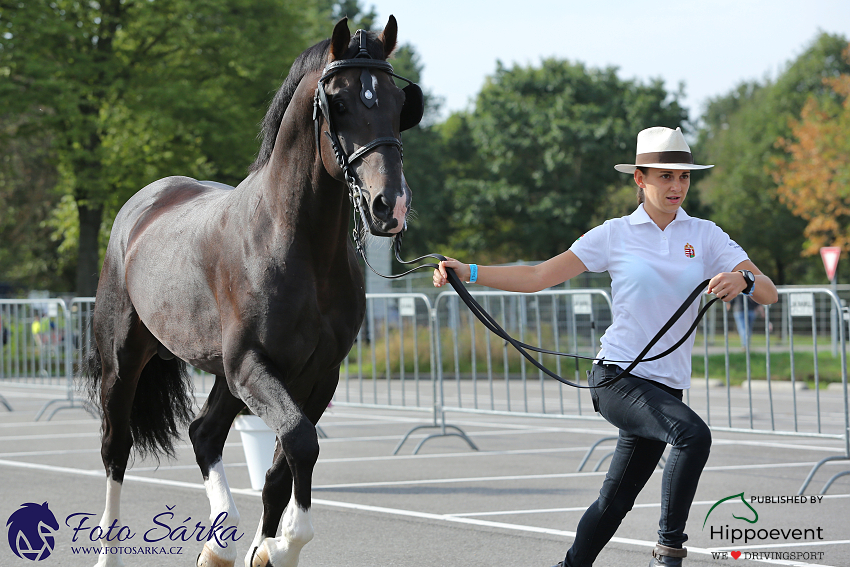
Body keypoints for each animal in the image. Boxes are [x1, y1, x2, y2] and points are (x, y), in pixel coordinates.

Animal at [83, 17, 420, 567]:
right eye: (340, 103)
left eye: (397, 102)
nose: (389, 205)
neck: (297, 243)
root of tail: (145, 203)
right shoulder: (252, 366)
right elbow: (301, 443)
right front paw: (281, 544)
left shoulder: (315, 375)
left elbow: (282, 468)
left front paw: (267, 549)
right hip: (125, 361)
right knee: (117, 447)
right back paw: (112, 549)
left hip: (225, 375)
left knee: (204, 433)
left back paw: (219, 543)